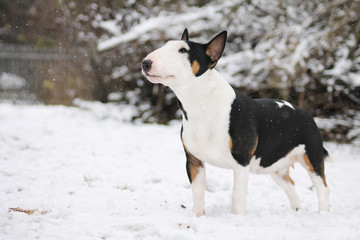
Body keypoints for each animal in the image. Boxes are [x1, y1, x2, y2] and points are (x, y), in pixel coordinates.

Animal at [141, 29, 330, 217]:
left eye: (183, 50)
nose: (145, 63)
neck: (201, 104)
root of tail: (305, 113)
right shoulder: (194, 160)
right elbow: (198, 191)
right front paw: (198, 216)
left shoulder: (241, 161)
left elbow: (237, 195)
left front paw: (237, 217)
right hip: (274, 166)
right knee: (290, 185)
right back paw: (296, 211)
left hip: (312, 157)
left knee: (322, 187)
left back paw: (322, 213)